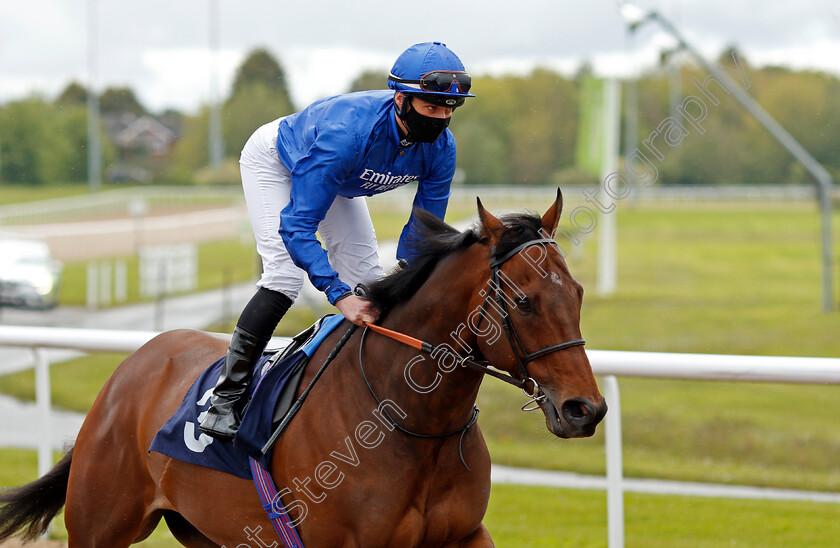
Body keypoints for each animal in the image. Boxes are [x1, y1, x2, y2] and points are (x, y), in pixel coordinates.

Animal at [0, 191, 604, 544]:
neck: (413, 421)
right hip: (100, 523)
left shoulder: (464, 535)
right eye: (524, 301)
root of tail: (130, 368)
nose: (586, 409)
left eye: (576, 293)